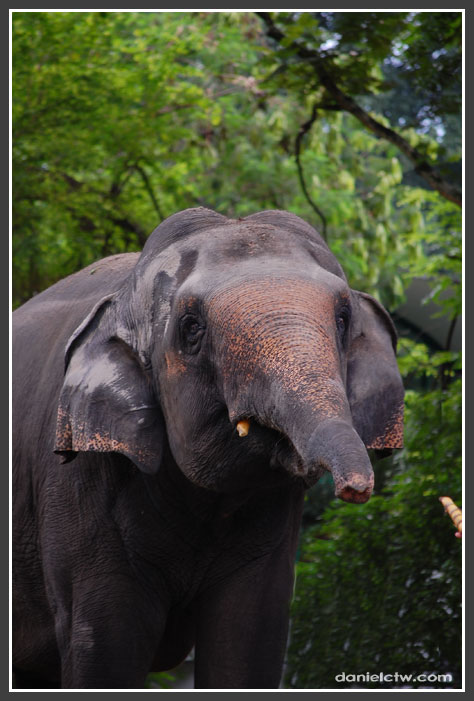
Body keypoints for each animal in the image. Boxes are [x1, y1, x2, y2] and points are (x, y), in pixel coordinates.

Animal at [12, 207, 404, 689]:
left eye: (344, 319)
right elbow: (105, 649)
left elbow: (250, 640)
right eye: (191, 328)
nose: (356, 488)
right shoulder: (77, 486)